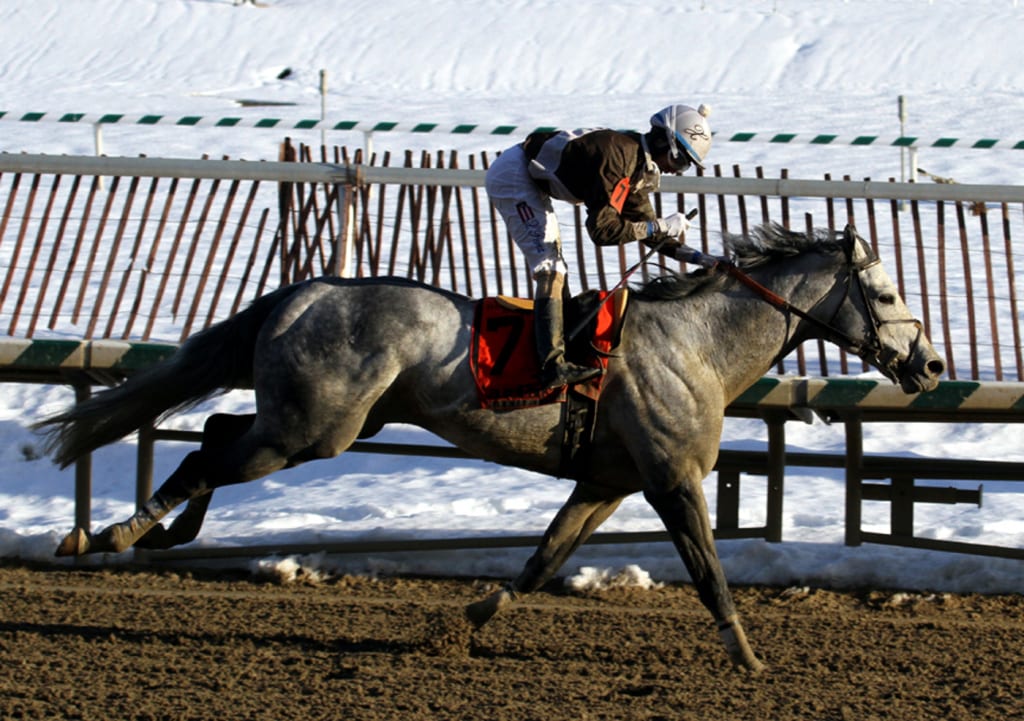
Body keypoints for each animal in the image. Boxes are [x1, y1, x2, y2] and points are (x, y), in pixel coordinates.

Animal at [36, 222, 942, 671]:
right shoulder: (672, 477)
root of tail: (307, 289)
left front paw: (461, 624)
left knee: (216, 434)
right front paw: (749, 658)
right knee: (204, 455)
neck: (699, 343)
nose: (931, 363)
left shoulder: (609, 480)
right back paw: (108, 532)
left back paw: (165, 530)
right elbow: (710, 572)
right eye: (886, 290)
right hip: (313, 429)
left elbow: (542, 560)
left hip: (324, 423)